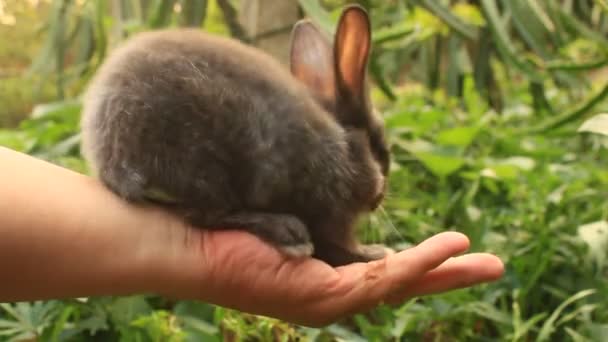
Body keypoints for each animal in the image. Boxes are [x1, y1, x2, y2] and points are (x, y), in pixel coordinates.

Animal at [79, 5, 390, 268]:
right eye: (379, 148)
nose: (379, 198)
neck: (345, 148)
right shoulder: (326, 211)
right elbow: (337, 248)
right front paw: (373, 254)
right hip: (207, 166)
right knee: (209, 217)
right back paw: (290, 234)